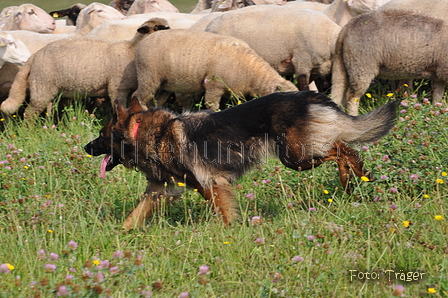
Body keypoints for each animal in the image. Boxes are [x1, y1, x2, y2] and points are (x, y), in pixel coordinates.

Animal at [0, 17, 171, 118]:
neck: (131, 49)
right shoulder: (117, 87)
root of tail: (35, 56)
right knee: (30, 113)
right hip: (42, 86)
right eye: (158, 28)